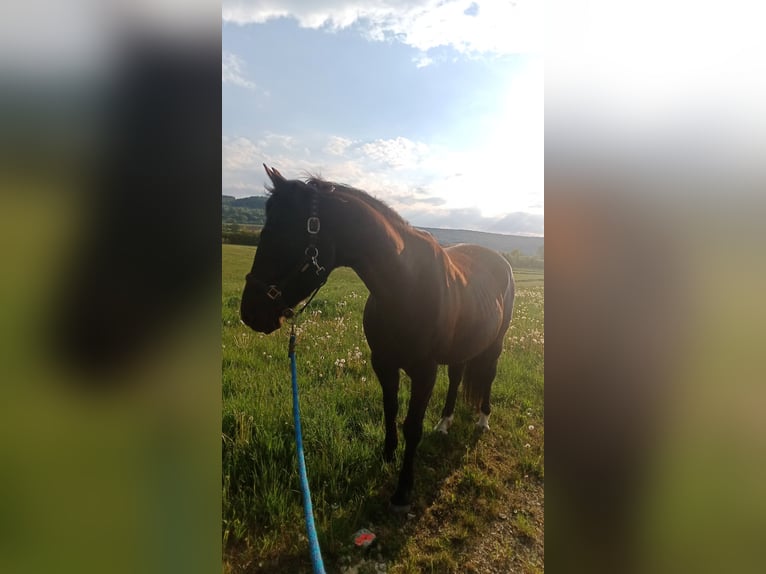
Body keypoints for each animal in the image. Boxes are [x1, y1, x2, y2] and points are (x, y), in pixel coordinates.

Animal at [241, 165, 515, 511]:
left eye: (283, 233)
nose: (249, 313)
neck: (405, 286)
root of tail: (501, 260)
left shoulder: (424, 372)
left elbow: (412, 426)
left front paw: (403, 491)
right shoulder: (383, 363)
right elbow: (390, 410)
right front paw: (386, 456)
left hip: (495, 344)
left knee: (488, 376)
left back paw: (482, 420)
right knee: (456, 377)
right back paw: (444, 423)